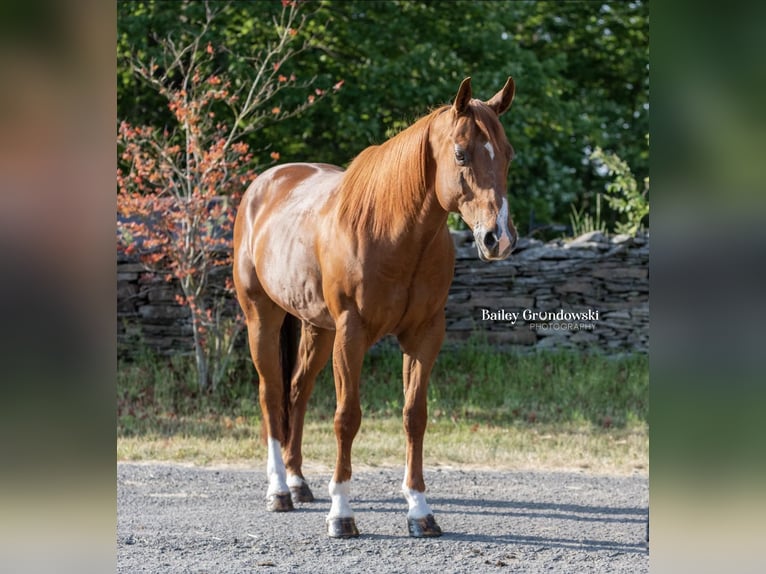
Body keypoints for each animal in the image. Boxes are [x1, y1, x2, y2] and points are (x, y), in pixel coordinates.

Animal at [234, 77, 520, 540]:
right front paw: (341, 513)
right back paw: (278, 490)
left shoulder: (424, 335)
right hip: (262, 317)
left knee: (296, 391)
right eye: (461, 152)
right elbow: (347, 417)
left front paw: (420, 510)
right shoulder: (352, 333)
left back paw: (297, 482)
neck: (392, 232)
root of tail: (264, 185)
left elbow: (414, 416)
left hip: (317, 328)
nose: (499, 238)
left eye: (508, 153)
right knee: (271, 393)